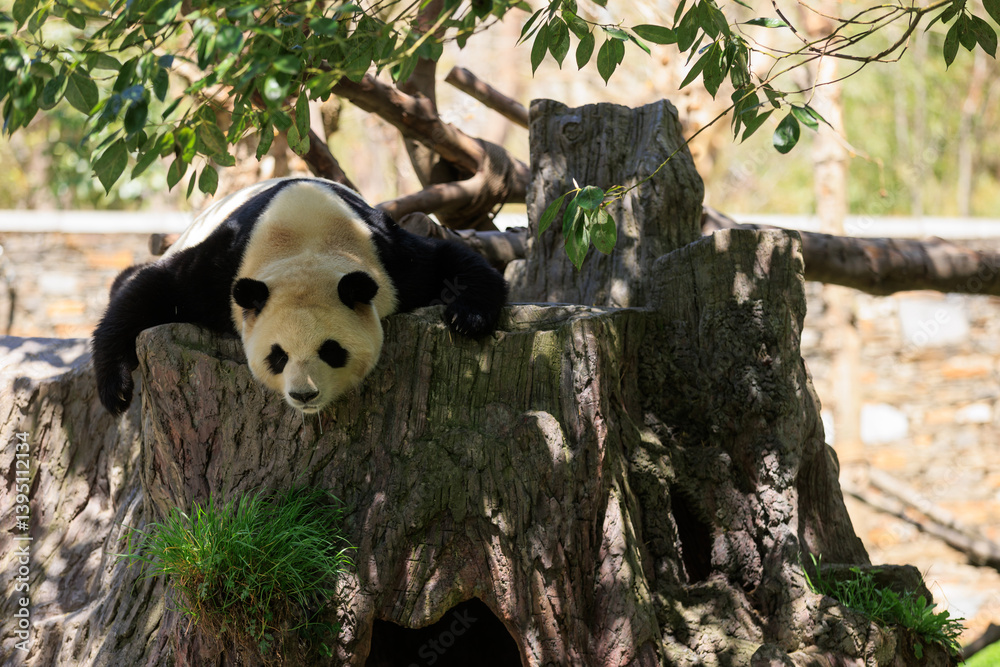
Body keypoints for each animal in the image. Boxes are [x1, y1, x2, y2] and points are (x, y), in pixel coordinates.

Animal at [92, 176, 507, 415]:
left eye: (332, 350)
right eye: (277, 355)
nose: (304, 395)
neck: (305, 240)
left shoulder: (388, 259)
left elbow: (448, 260)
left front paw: (468, 317)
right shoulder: (223, 267)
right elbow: (152, 290)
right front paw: (115, 391)